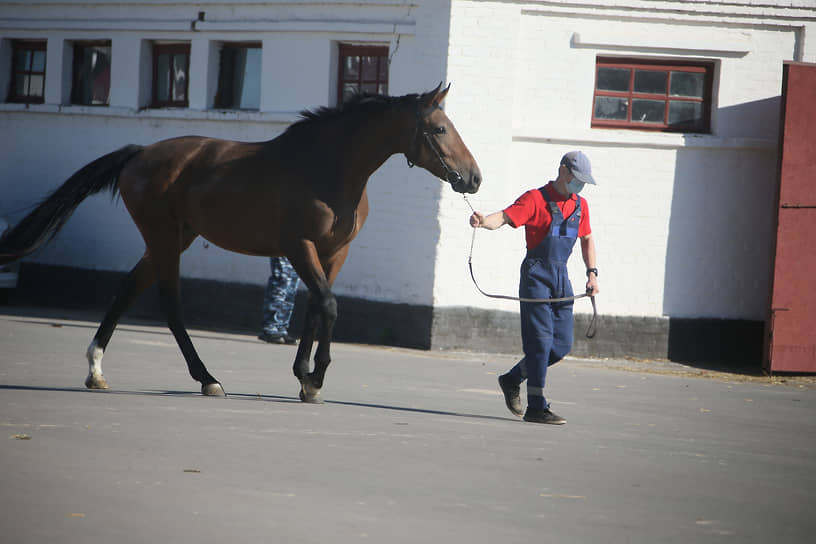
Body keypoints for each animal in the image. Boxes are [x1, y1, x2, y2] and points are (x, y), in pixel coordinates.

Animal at [0, 83, 482, 402]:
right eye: (440, 129)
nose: (474, 178)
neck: (328, 167)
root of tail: (139, 154)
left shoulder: (333, 252)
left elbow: (314, 308)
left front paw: (303, 377)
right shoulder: (298, 246)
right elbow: (328, 305)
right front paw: (316, 378)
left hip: (174, 238)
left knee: (127, 290)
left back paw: (97, 370)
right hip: (164, 238)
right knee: (169, 303)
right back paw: (206, 378)